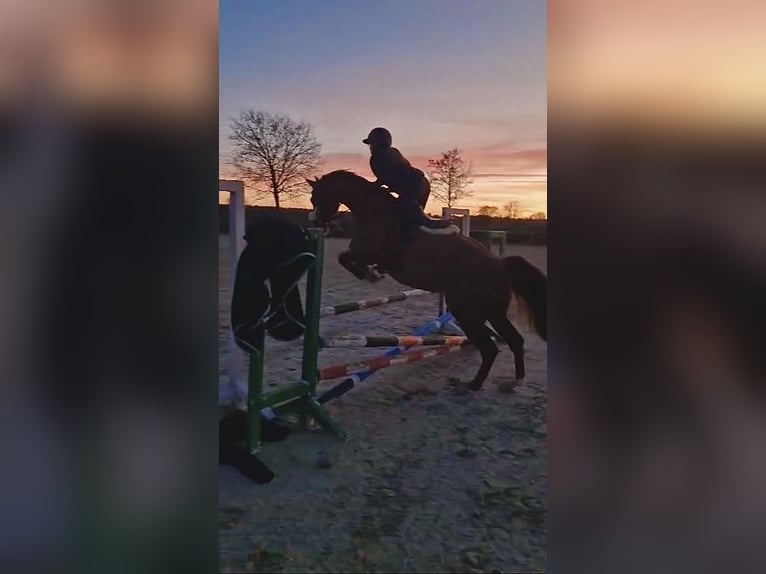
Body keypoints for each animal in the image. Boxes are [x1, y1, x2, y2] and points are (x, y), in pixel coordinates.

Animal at [306, 169, 547, 391]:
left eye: (315, 197)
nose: (319, 223)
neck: (374, 212)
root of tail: (500, 265)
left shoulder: (373, 253)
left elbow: (345, 258)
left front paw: (370, 274)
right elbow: (345, 257)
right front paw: (370, 273)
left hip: (469, 312)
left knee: (489, 348)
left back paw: (472, 384)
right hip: (491, 313)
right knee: (513, 340)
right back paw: (515, 380)